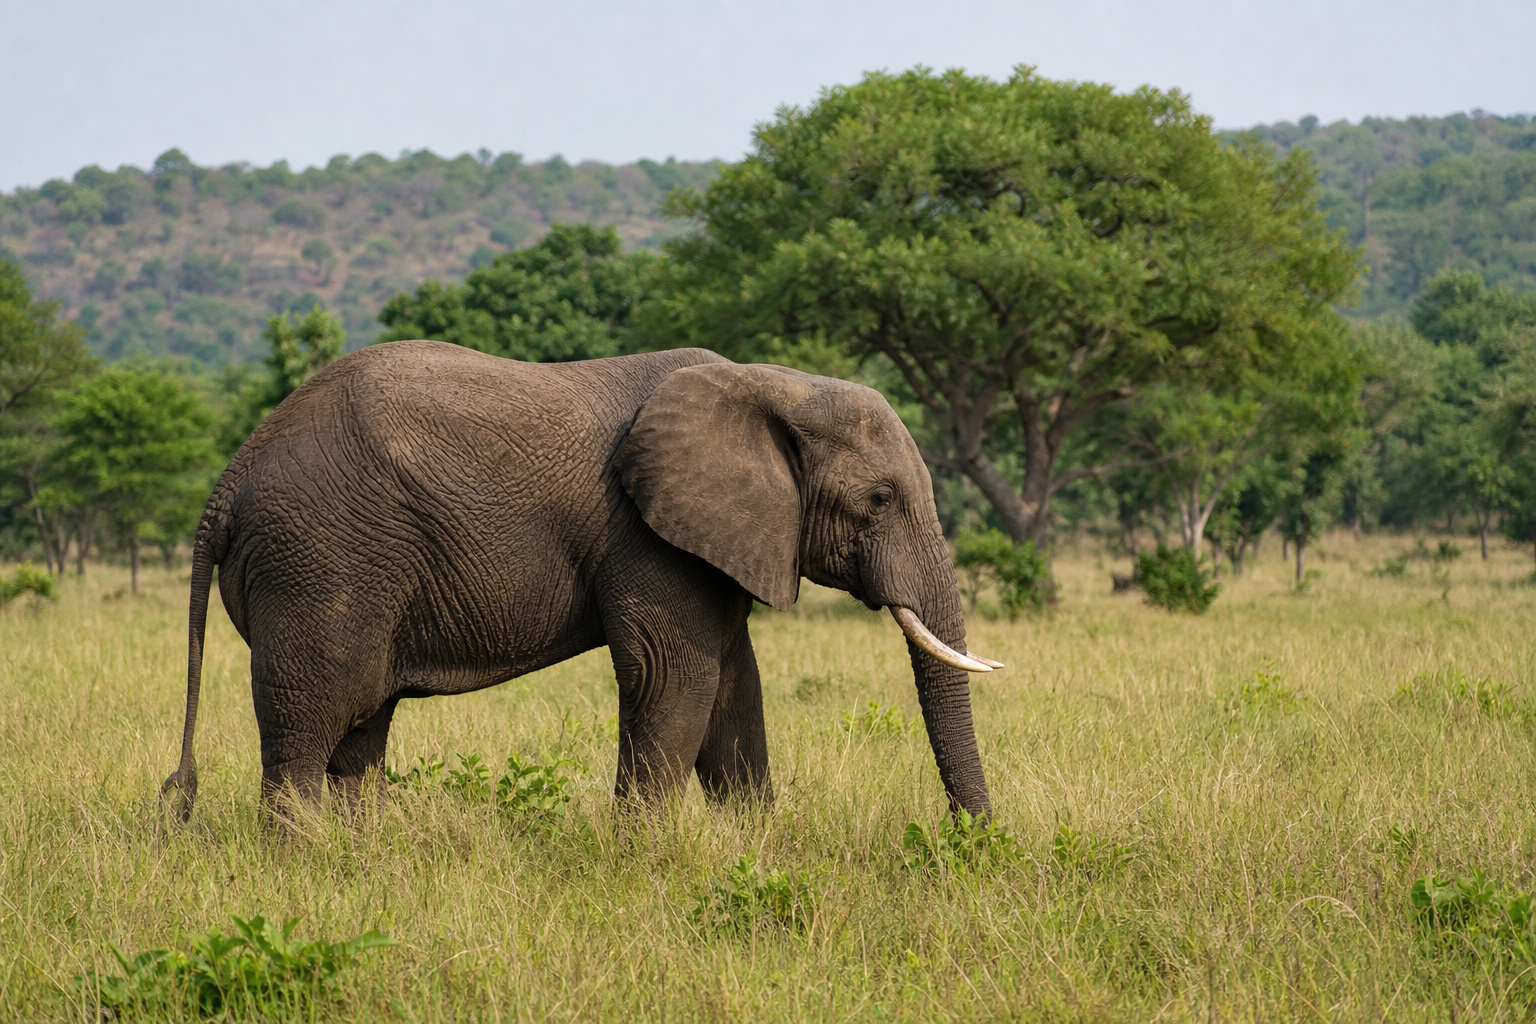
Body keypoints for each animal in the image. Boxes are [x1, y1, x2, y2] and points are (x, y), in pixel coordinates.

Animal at [161, 340, 1000, 821]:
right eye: (879, 500)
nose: (971, 841)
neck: (772, 385)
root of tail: (228, 478)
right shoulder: (647, 535)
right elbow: (672, 679)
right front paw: (642, 864)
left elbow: (735, 686)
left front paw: (755, 844)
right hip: (319, 563)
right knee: (311, 729)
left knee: (359, 735)